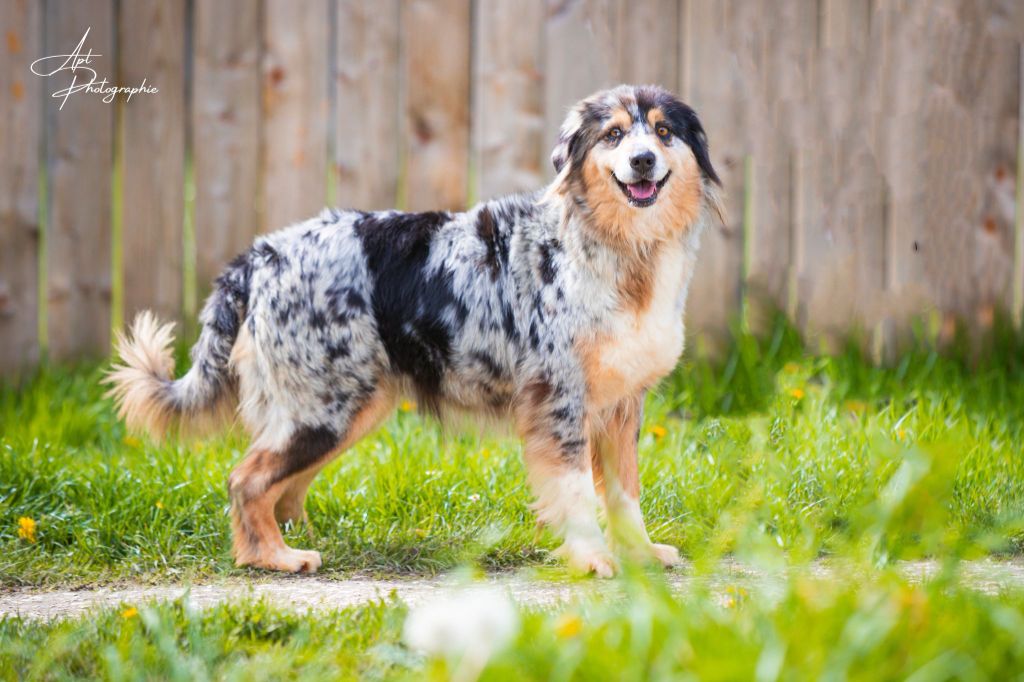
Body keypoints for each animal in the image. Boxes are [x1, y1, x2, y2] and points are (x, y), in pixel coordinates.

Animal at [105, 83, 720, 573]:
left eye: (663, 132)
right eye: (613, 135)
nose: (642, 160)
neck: (619, 252)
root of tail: (260, 256)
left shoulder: (621, 406)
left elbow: (624, 493)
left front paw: (641, 553)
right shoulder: (559, 400)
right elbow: (575, 493)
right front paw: (592, 559)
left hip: (344, 410)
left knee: (280, 486)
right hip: (323, 411)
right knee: (246, 481)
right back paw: (273, 558)